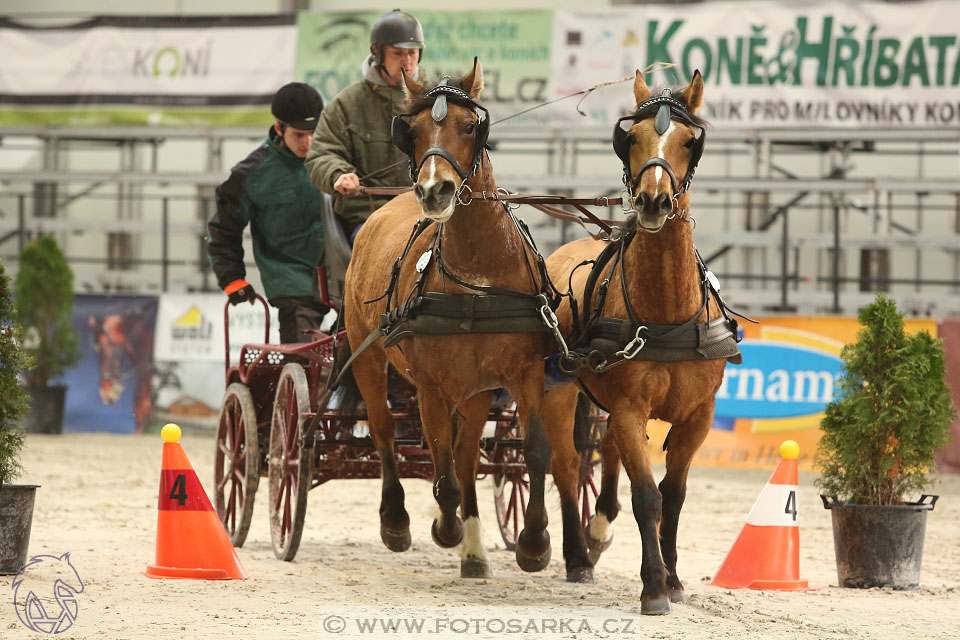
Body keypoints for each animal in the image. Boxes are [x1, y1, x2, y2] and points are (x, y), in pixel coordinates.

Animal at [344, 60, 556, 576]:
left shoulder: (524, 373)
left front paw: (534, 542)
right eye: (414, 130)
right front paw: (445, 528)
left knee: (465, 457)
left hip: (476, 391)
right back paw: (398, 521)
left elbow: (534, 451)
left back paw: (475, 550)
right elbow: (440, 473)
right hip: (368, 358)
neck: (478, 280)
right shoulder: (431, 387)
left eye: (469, 125)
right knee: (385, 431)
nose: (433, 190)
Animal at [540, 70, 744, 608]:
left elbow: (673, 496)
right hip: (559, 392)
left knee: (605, 451)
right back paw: (576, 555)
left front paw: (672, 578)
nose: (653, 201)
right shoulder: (632, 407)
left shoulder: (698, 417)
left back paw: (598, 529)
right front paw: (653, 585)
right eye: (630, 138)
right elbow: (647, 496)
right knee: (566, 465)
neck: (668, 312)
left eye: (690, 141)